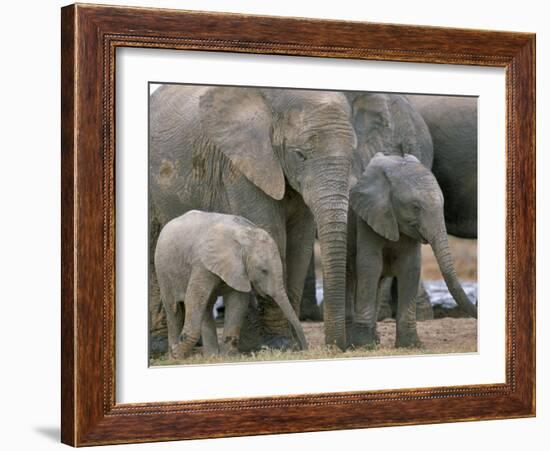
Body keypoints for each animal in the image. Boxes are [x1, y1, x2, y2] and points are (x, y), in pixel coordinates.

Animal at [155, 211, 308, 360]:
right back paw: (175, 357)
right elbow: (193, 299)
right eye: (263, 271)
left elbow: (238, 302)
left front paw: (228, 356)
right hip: (163, 270)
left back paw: (211, 356)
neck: (244, 235)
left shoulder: (240, 269)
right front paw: (177, 354)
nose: (304, 348)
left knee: (206, 305)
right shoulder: (201, 264)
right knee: (174, 309)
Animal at [354, 154, 478, 348]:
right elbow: (370, 265)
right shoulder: (369, 216)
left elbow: (410, 267)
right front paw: (363, 346)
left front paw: (410, 345)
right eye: (415, 207)